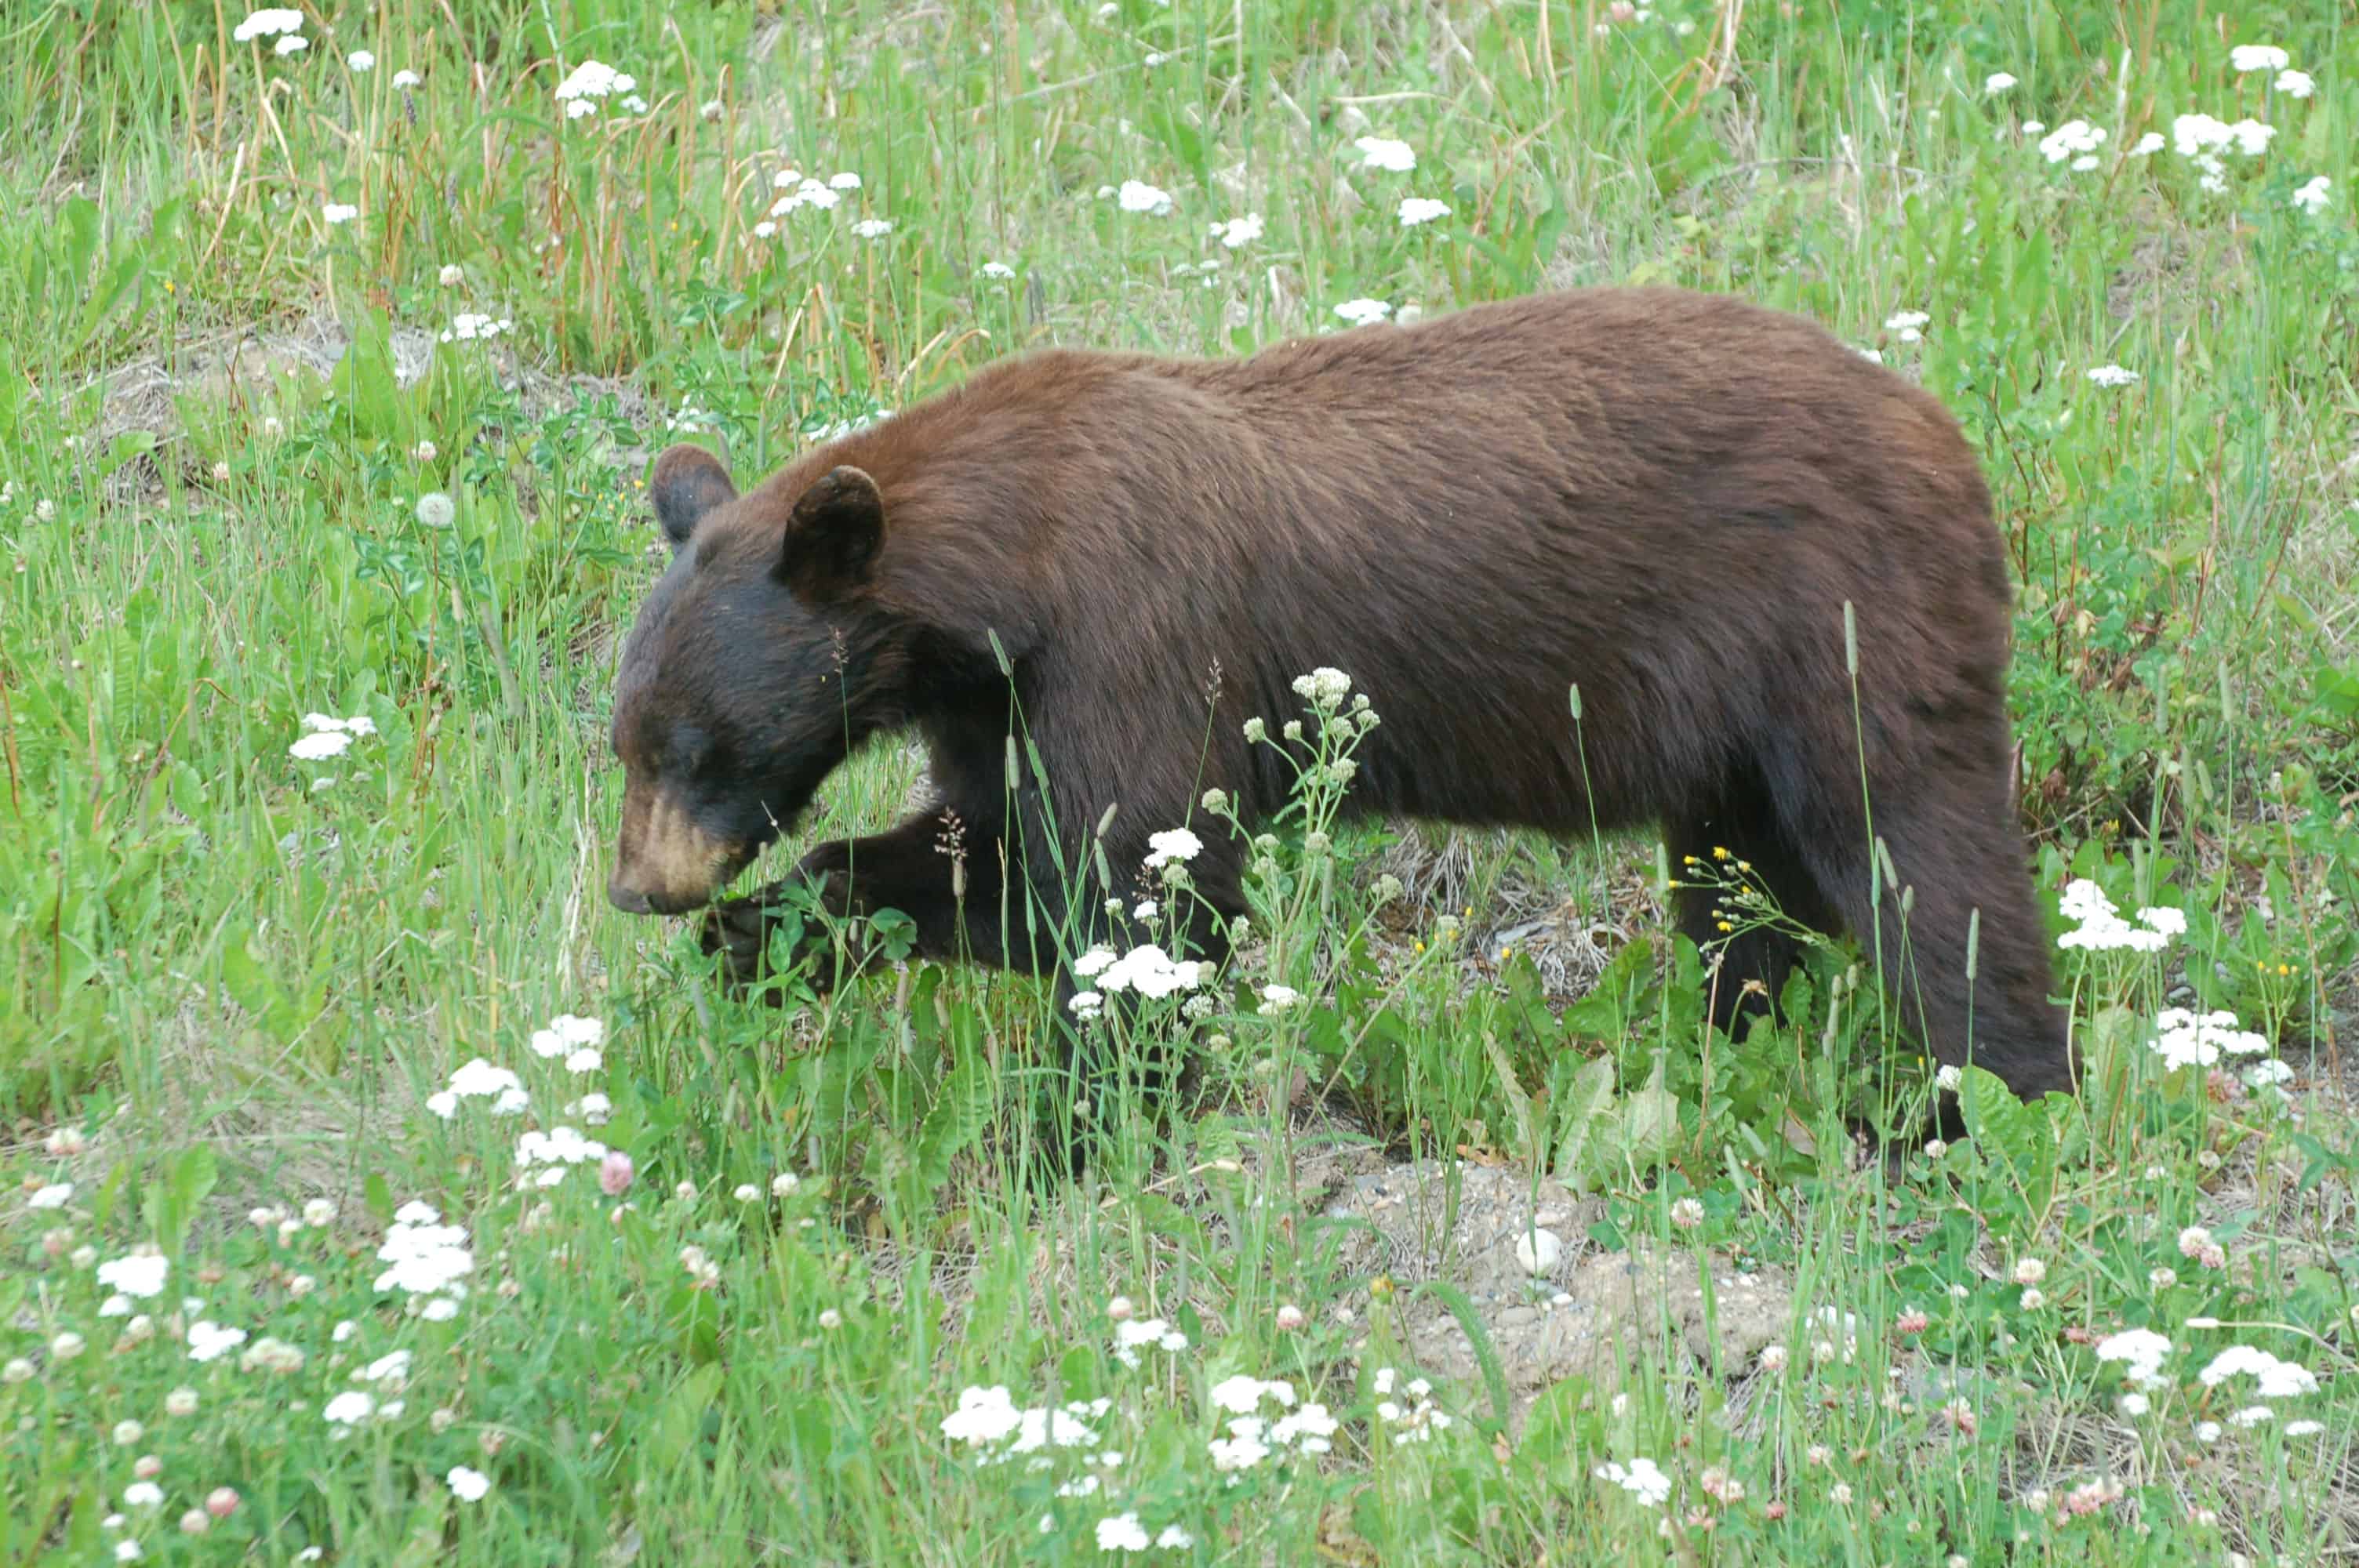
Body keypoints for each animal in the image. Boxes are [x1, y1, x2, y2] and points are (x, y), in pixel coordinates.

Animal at [605, 285, 2075, 1107]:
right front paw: (766, 934)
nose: (638, 887)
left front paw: (1087, 1120)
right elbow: (1003, 863)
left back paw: (1980, 1107)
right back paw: (1739, 1038)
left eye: (700, 746)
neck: (1003, 574)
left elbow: (1147, 888)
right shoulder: (995, 703)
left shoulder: (1134, 641)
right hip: (1730, 739)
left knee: (1922, 868)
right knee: (1739, 888)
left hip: (1840, 631)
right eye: (625, 743)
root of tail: (1947, 434)